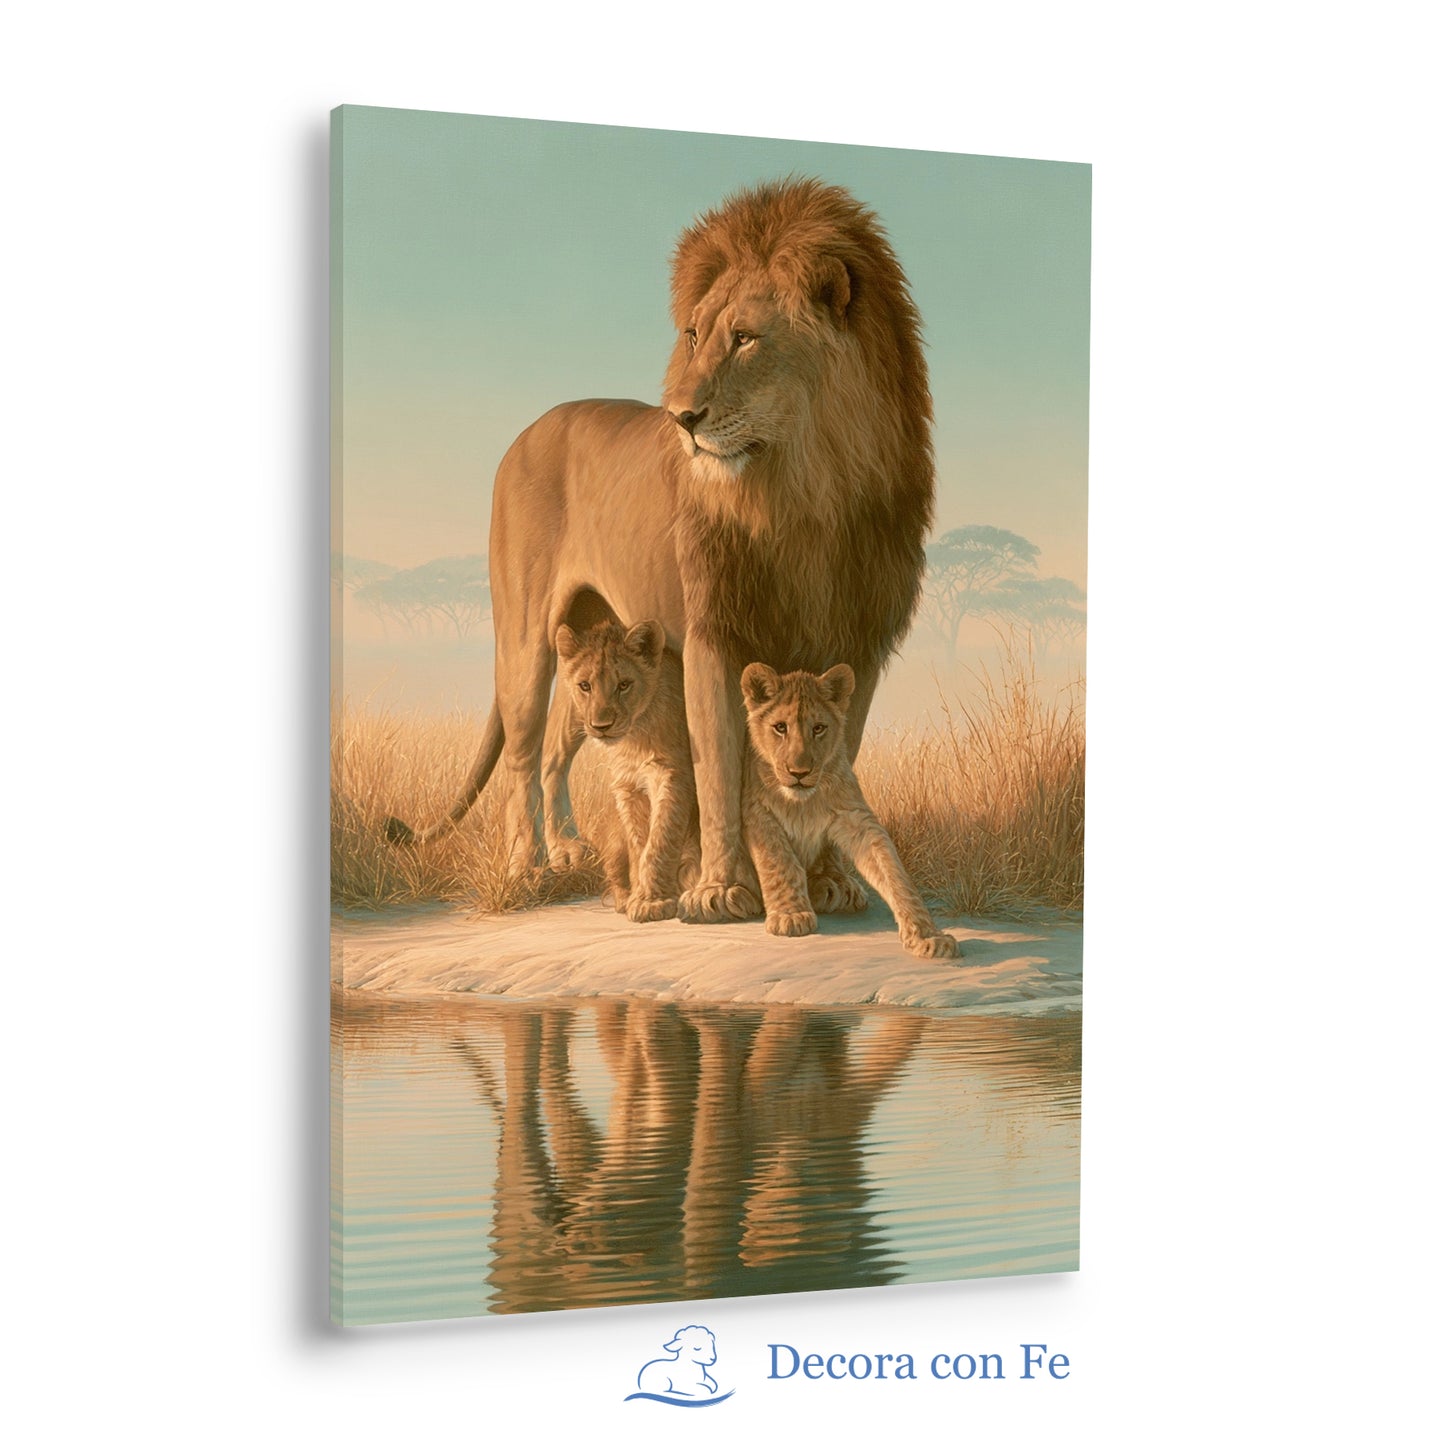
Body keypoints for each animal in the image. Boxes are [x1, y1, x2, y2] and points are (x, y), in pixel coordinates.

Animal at [551, 618, 699, 922]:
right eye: (585, 686)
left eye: (624, 685)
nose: (601, 726)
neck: (633, 739)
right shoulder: (627, 787)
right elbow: (640, 845)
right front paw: (640, 895)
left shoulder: (672, 776)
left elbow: (660, 839)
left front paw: (652, 902)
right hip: (612, 840)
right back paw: (623, 899)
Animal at [740, 662, 961, 961]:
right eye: (780, 727)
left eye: (819, 728)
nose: (799, 773)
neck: (803, 803)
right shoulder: (756, 811)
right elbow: (779, 861)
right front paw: (791, 915)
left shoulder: (856, 818)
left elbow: (894, 873)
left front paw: (928, 936)